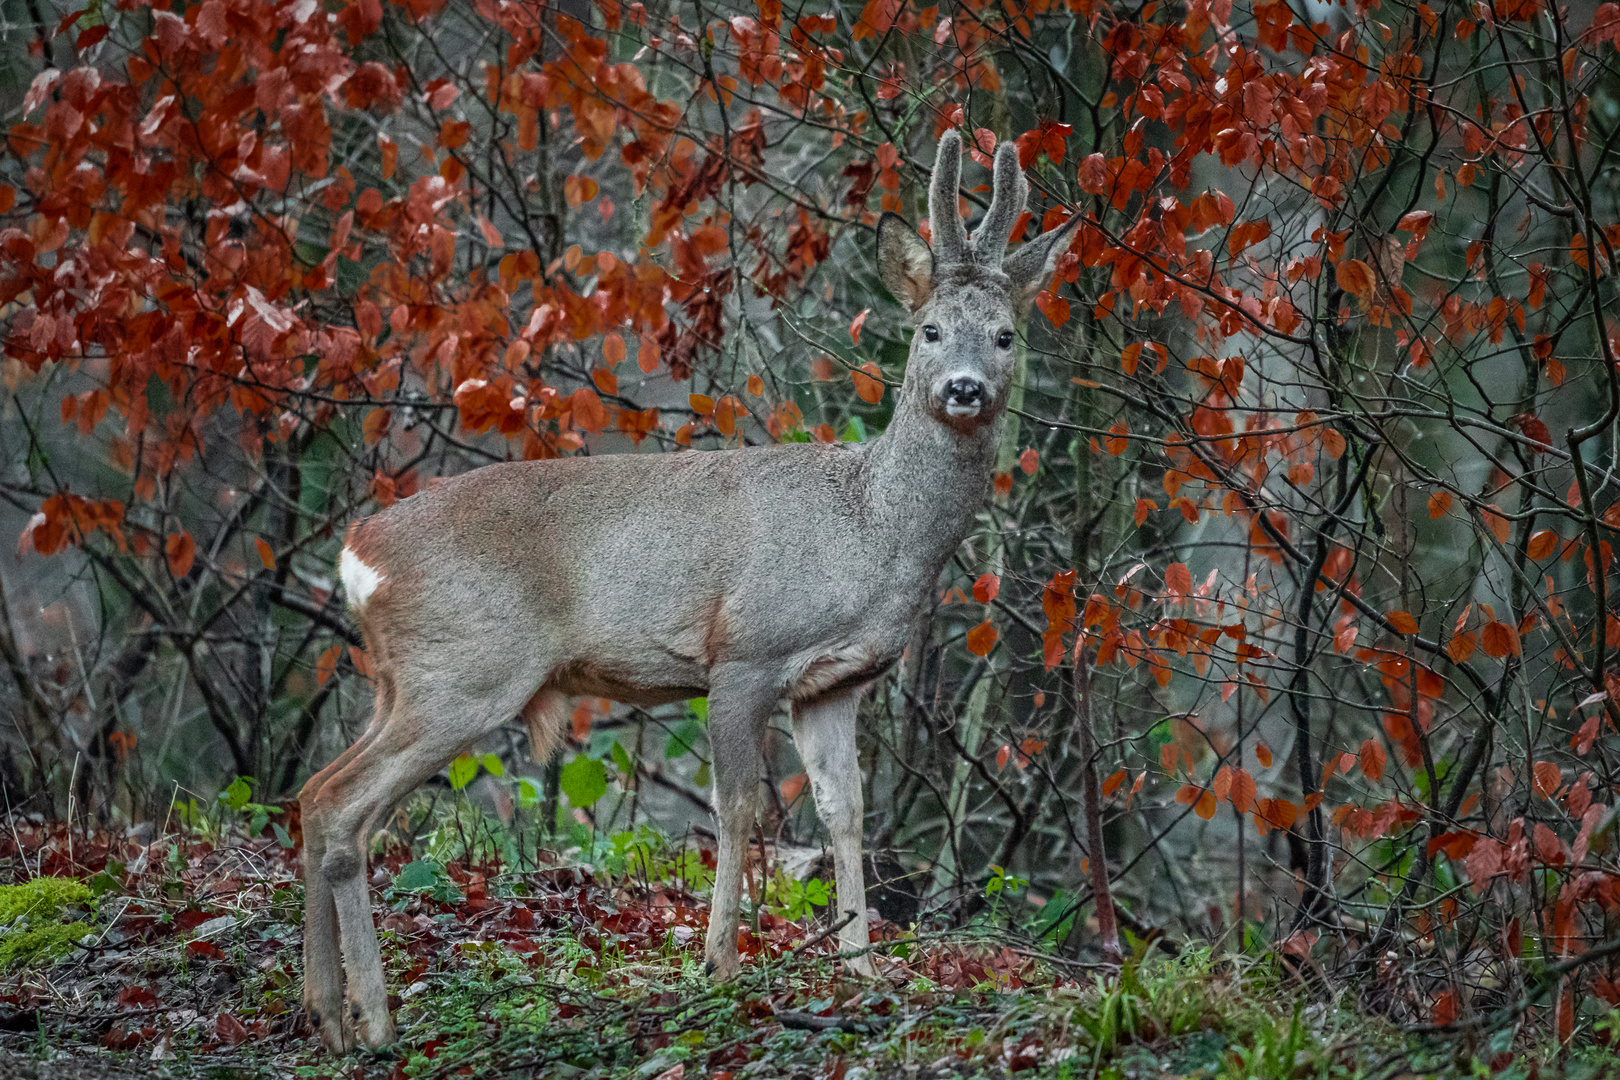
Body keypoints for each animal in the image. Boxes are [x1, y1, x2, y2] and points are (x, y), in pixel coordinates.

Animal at [298, 128, 1082, 1055]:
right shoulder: (745, 651)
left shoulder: (837, 682)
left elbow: (844, 811)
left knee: (316, 797)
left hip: (401, 681)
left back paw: (326, 1012)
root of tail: (358, 553)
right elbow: (737, 809)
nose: (965, 388)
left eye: (1004, 335)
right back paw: (375, 1019)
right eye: (929, 329)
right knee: (342, 805)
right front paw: (719, 964)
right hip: (464, 670)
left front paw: (858, 965)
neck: (870, 530)